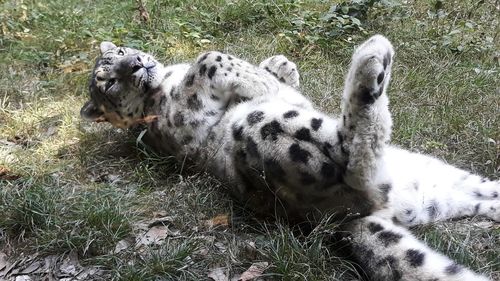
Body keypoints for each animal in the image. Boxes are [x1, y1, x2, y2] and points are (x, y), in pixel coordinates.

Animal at [80, 35, 498, 280]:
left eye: (121, 53)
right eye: (110, 81)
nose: (137, 63)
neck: (166, 78)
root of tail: (344, 220)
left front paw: (279, 66)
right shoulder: (185, 114)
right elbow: (209, 56)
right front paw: (263, 79)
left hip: (442, 180)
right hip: (268, 130)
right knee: (355, 161)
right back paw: (371, 58)